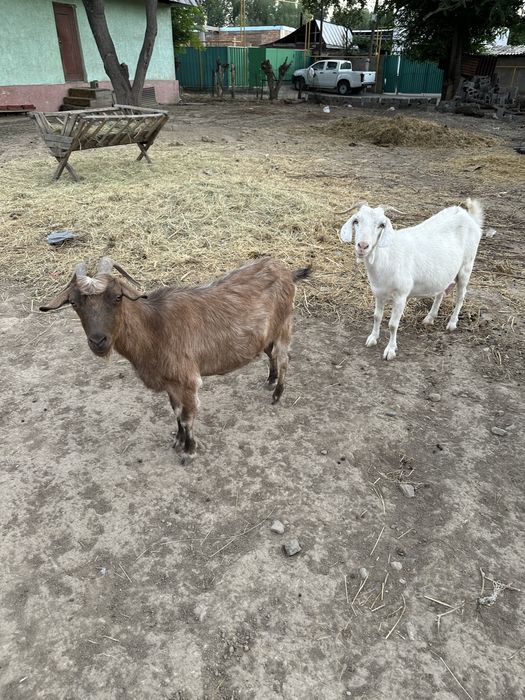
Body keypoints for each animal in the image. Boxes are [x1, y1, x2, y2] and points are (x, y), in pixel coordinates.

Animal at [41, 257, 310, 457]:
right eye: (74, 303)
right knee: (271, 354)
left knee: (284, 358)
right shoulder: (171, 382)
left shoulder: (188, 380)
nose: (98, 341)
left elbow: (187, 416)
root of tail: (287, 272)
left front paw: (189, 451)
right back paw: (270, 381)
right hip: (266, 334)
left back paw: (277, 394)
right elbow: (176, 412)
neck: (154, 327)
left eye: (117, 297)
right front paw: (178, 441)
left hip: (284, 325)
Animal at [339, 199, 484, 360]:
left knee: (460, 296)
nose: (363, 246)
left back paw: (452, 323)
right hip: (444, 273)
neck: (387, 256)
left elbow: (393, 325)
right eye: (356, 221)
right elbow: (377, 316)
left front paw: (390, 350)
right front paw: (372, 338)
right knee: (440, 292)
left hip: (466, 266)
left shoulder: (401, 296)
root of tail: (469, 217)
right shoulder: (378, 293)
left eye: (382, 225)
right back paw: (429, 318)